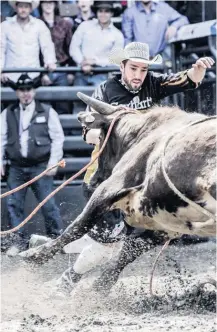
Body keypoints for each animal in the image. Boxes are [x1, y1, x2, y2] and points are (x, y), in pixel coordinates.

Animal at [19, 92, 216, 268]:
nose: (93, 180)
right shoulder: (165, 225)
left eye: (100, 137)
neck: (144, 133)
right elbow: (127, 253)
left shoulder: (111, 187)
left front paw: (34, 255)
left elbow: (78, 226)